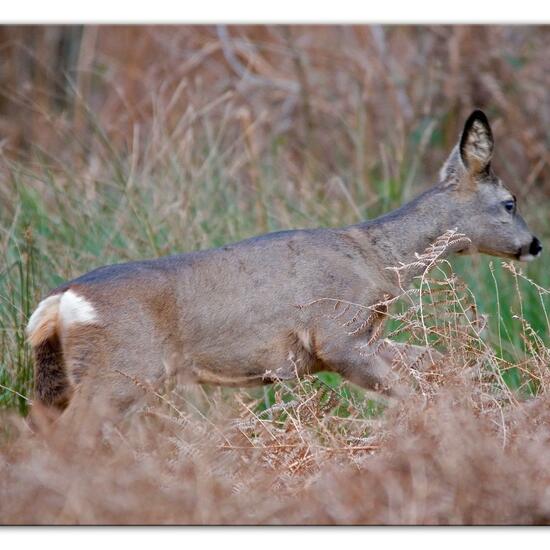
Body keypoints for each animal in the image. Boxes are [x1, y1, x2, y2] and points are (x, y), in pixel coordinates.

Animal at [25, 109, 544, 422]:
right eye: (510, 202)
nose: (536, 244)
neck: (377, 260)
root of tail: (60, 301)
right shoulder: (335, 333)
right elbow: (408, 392)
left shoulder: (361, 336)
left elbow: (432, 362)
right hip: (120, 371)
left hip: (58, 381)